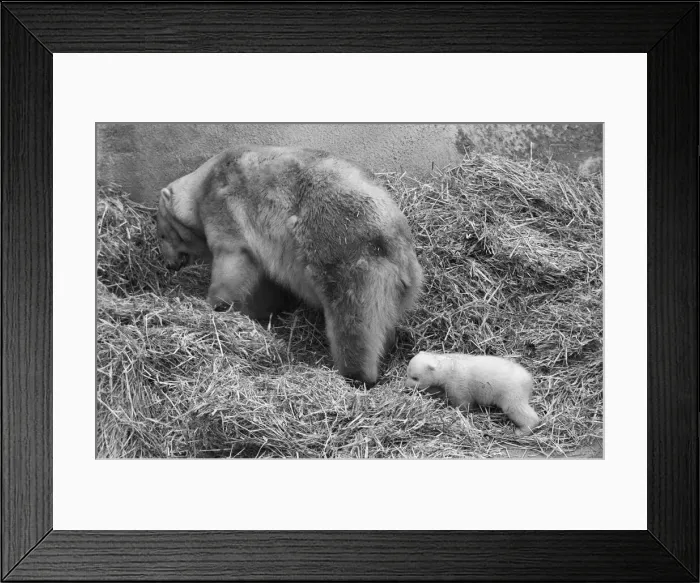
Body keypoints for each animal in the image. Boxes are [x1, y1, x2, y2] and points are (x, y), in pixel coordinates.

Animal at [156, 145, 423, 386]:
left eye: (162, 234)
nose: (168, 265)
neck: (204, 181)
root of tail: (399, 248)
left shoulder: (224, 207)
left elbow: (234, 259)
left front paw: (214, 304)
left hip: (345, 254)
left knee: (353, 318)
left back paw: (355, 374)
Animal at [405, 352, 539, 436]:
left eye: (415, 377)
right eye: (408, 373)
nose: (406, 386)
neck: (449, 366)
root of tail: (528, 379)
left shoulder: (457, 383)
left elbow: (463, 402)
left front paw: (455, 410)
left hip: (511, 391)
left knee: (516, 408)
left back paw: (522, 430)